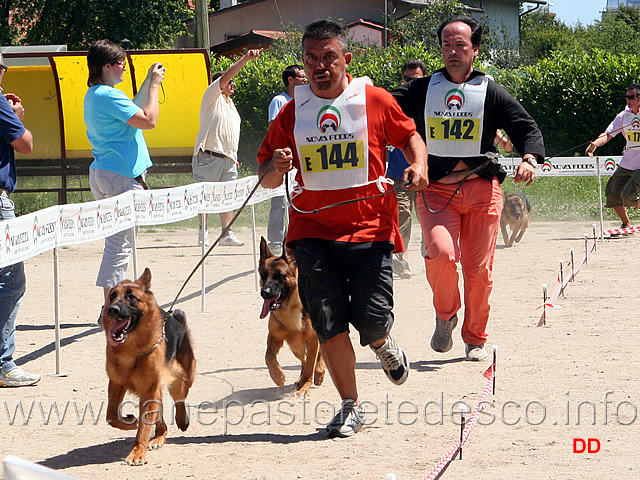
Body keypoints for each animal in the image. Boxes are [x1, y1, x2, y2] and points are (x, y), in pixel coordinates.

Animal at [100, 266, 194, 464]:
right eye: (112, 296)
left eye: (131, 297)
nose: (112, 310)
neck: (131, 351)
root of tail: (178, 323)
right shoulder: (117, 384)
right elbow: (111, 415)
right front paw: (129, 422)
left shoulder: (149, 390)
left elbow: (143, 427)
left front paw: (137, 452)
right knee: (161, 421)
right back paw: (158, 437)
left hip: (181, 379)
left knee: (180, 399)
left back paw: (181, 420)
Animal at [258, 237, 324, 398]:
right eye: (263, 275)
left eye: (280, 276)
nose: (264, 292)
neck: (290, 309)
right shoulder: (274, 337)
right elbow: (268, 357)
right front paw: (278, 376)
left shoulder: (313, 340)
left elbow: (311, 364)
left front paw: (305, 386)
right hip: (296, 346)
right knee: (304, 360)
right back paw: (300, 379)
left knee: (316, 357)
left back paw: (318, 373)